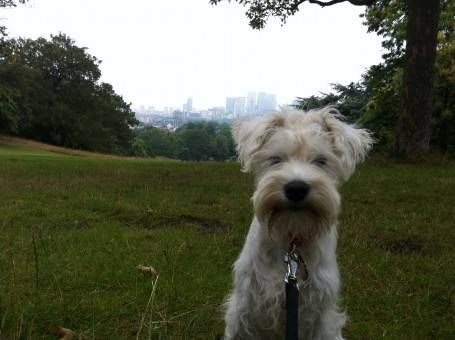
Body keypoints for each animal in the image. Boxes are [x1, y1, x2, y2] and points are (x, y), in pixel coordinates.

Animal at [224, 108, 374, 340]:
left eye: (321, 161)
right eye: (275, 159)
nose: (296, 188)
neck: (290, 237)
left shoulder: (320, 314)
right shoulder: (245, 308)